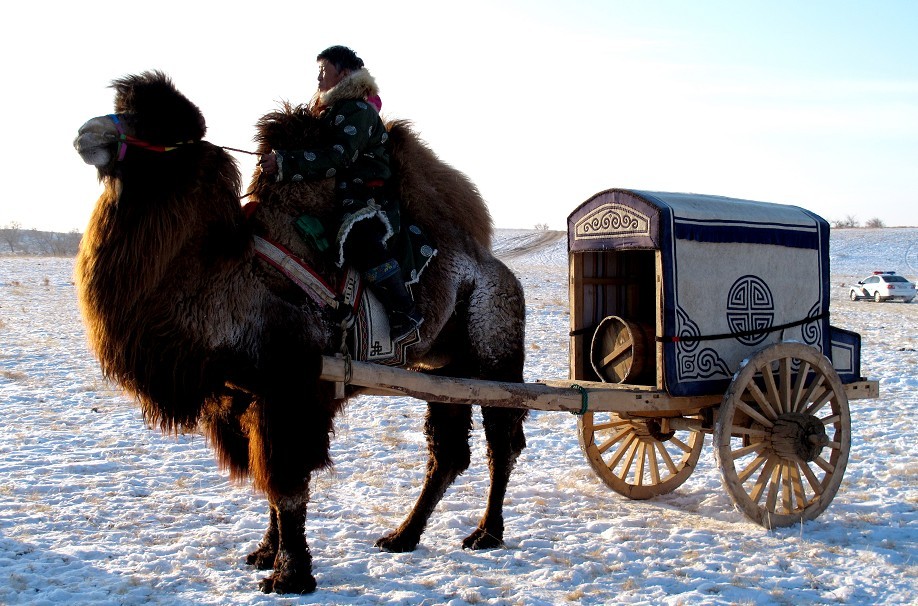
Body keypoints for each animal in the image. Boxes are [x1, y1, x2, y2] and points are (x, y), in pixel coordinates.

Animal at [73, 70, 524, 592]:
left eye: (158, 124)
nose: (87, 133)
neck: (222, 274)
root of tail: (499, 270)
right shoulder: (244, 396)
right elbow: (267, 483)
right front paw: (264, 554)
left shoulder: (293, 388)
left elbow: (287, 484)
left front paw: (290, 576)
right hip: (444, 373)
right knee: (447, 454)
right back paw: (402, 536)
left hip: (496, 357)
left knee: (500, 444)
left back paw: (485, 533)